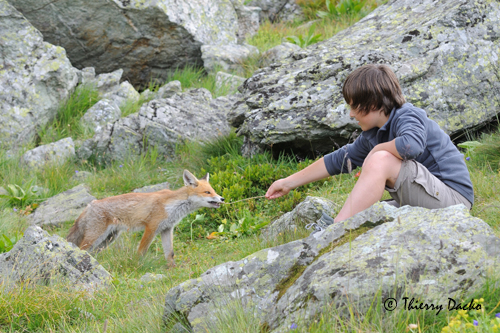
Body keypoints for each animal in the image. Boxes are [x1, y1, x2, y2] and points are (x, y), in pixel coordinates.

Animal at [66, 170, 225, 266]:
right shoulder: (151, 227)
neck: (173, 206)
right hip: (95, 237)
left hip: (107, 239)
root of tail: (90, 204)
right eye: (207, 192)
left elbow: (170, 253)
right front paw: (137, 265)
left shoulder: (167, 229)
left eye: (213, 191)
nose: (222, 198)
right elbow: (141, 251)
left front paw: (172, 268)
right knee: (80, 249)